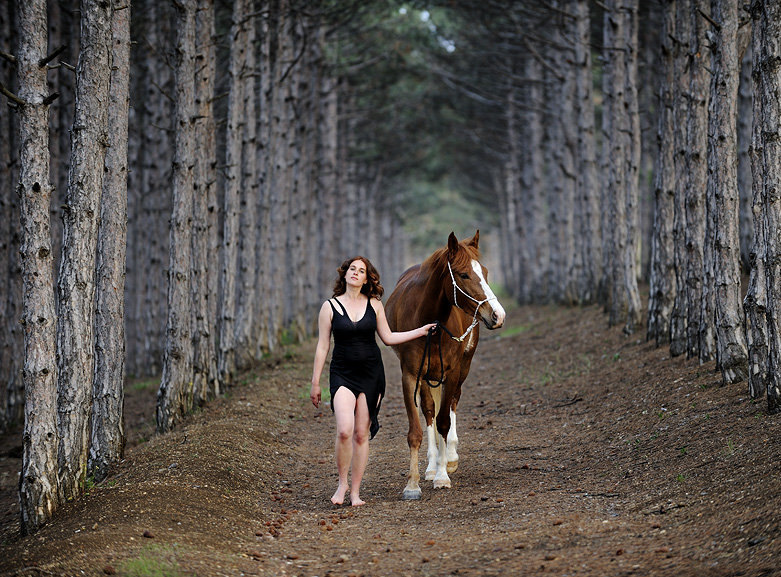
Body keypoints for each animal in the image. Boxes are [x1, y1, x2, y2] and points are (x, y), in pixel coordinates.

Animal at [386, 232, 506, 498]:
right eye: (464, 274)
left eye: (484, 271)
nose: (498, 315)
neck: (430, 322)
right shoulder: (411, 375)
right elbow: (417, 428)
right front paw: (413, 484)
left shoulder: (451, 373)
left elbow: (444, 421)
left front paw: (442, 475)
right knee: (431, 410)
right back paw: (432, 465)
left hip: (463, 367)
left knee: (451, 404)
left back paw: (448, 457)